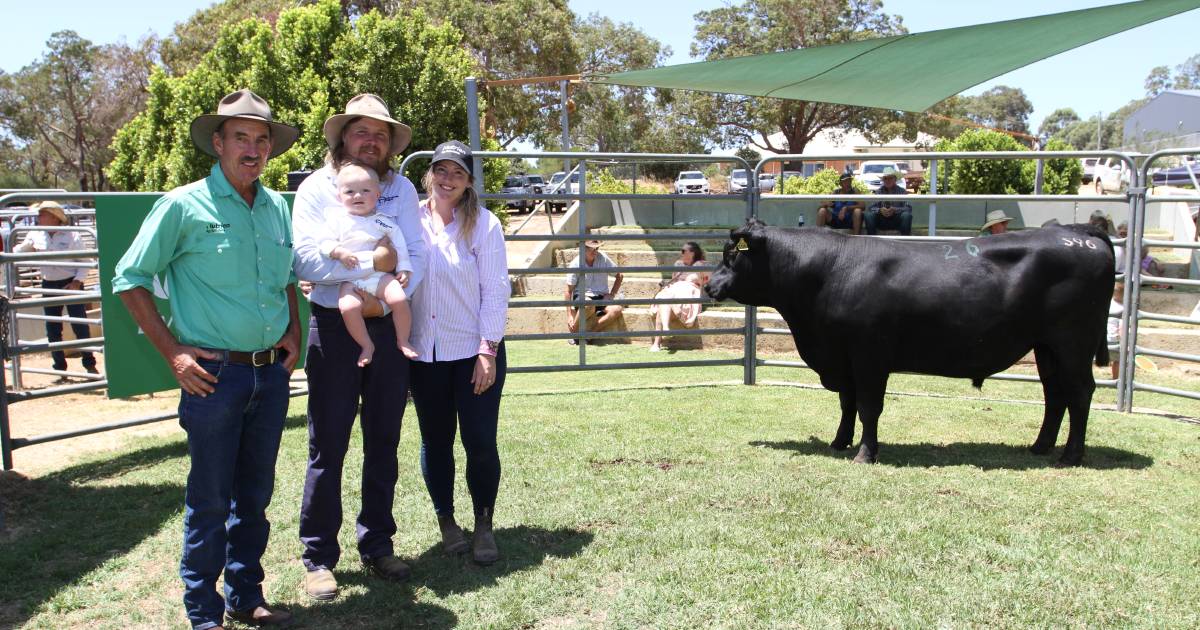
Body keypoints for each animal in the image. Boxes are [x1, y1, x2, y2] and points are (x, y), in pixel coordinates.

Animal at [700, 218, 1113, 463]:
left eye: (732, 257)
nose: (708, 285)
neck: (828, 272)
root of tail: (1079, 232)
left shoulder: (869, 356)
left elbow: (869, 407)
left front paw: (865, 454)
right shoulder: (843, 357)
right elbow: (847, 404)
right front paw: (839, 442)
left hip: (1073, 343)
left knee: (1080, 393)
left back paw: (1071, 456)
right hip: (1046, 347)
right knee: (1054, 395)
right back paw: (1039, 447)